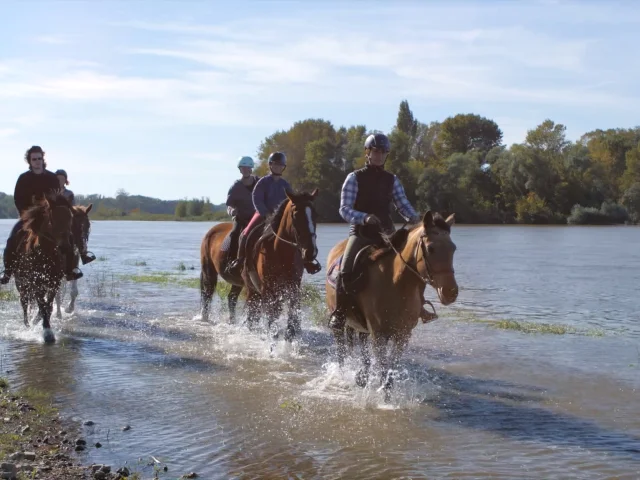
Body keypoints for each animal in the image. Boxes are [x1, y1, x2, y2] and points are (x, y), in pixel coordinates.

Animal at [13, 189, 75, 344]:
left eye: (70, 218)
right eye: (52, 219)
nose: (65, 247)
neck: (46, 252)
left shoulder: (54, 282)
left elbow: (48, 305)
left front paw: (42, 321)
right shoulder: (36, 282)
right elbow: (42, 305)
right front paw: (47, 333)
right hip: (21, 283)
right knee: (24, 303)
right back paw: (27, 324)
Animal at [328, 210, 458, 398]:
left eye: (453, 248)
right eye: (431, 248)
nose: (450, 292)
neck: (395, 283)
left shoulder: (403, 334)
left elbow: (391, 369)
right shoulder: (378, 334)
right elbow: (383, 369)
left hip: (360, 327)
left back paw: (361, 377)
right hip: (340, 324)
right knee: (341, 353)